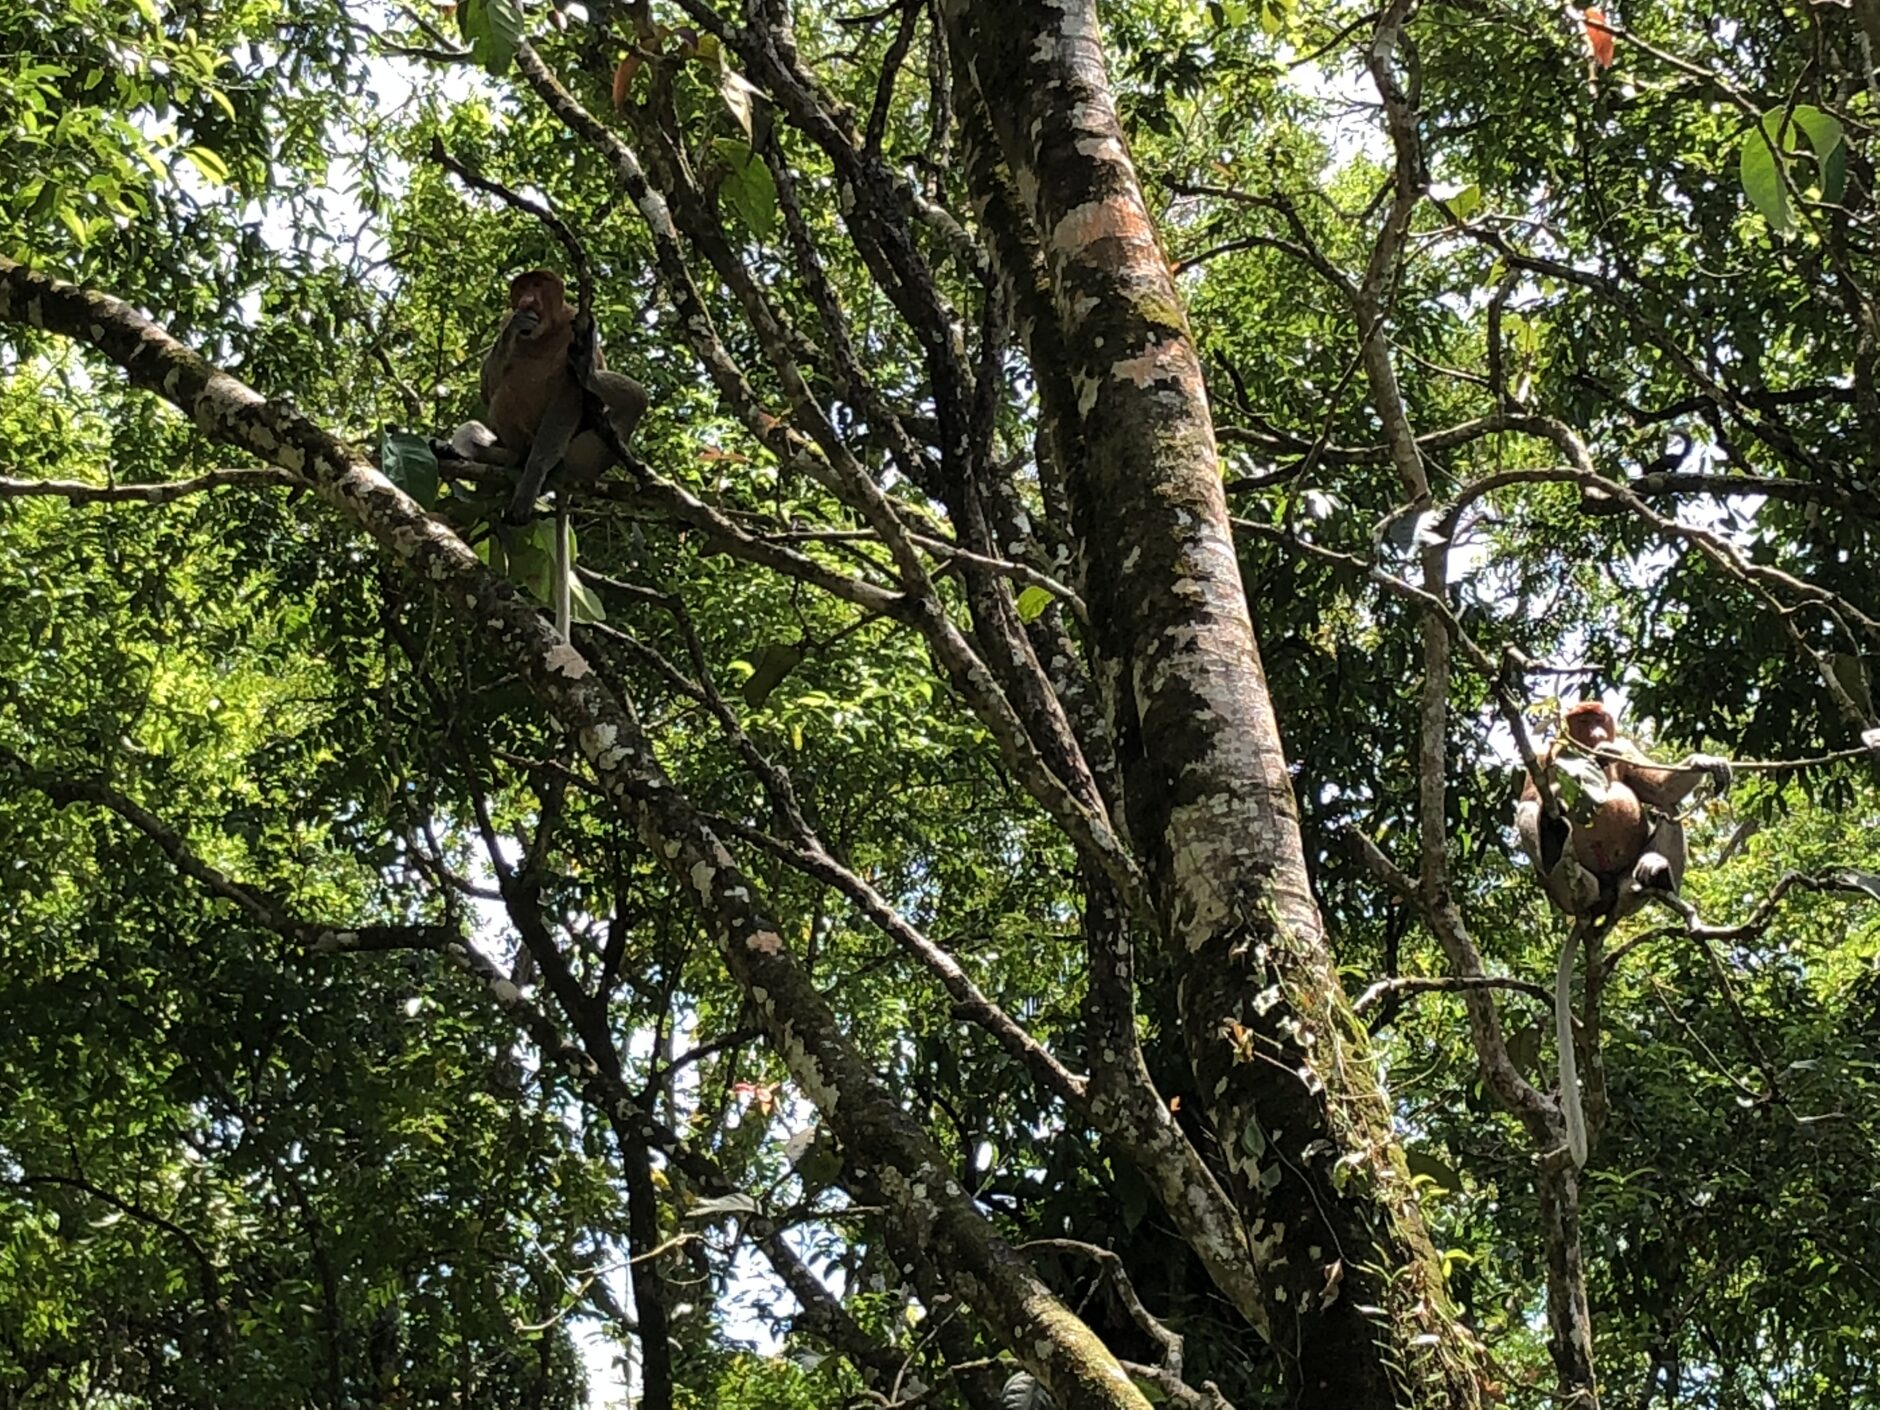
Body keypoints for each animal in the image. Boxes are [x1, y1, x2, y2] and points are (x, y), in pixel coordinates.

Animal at [1515, 700, 1732, 1167]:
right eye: (1583, 720)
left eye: (1600, 719)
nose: (1597, 735)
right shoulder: (1541, 757)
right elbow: (1531, 796)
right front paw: (1556, 801)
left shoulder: (1625, 748)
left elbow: (1660, 792)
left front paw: (1706, 762)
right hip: (1562, 884)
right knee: (1537, 822)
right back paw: (1560, 847)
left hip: (1623, 879)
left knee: (1666, 814)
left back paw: (1651, 875)